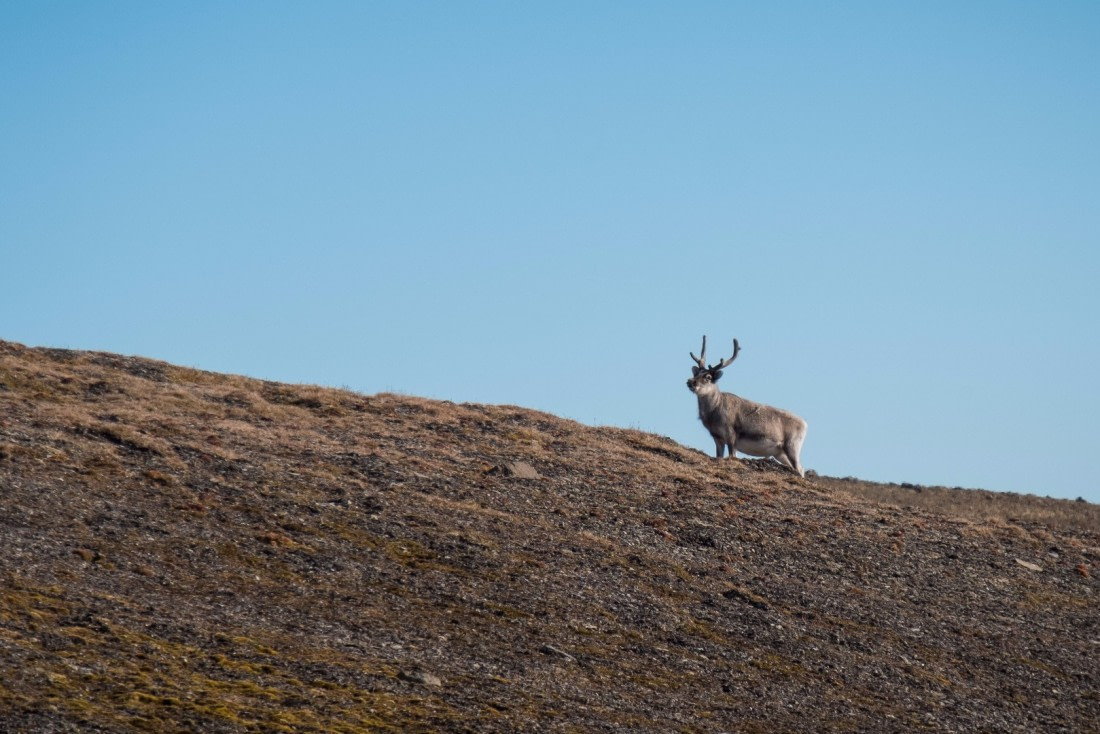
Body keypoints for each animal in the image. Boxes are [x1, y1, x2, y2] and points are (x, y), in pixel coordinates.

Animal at [686, 336, 808, 477]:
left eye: (708, 377)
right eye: (696, 374)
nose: (690, 382)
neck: (713, 415)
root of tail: (806, 424)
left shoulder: (731, 435)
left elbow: (732, 456)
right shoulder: (717, 437)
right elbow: (719, 456)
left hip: (792, 445)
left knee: (800, 468)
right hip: (780, 453)